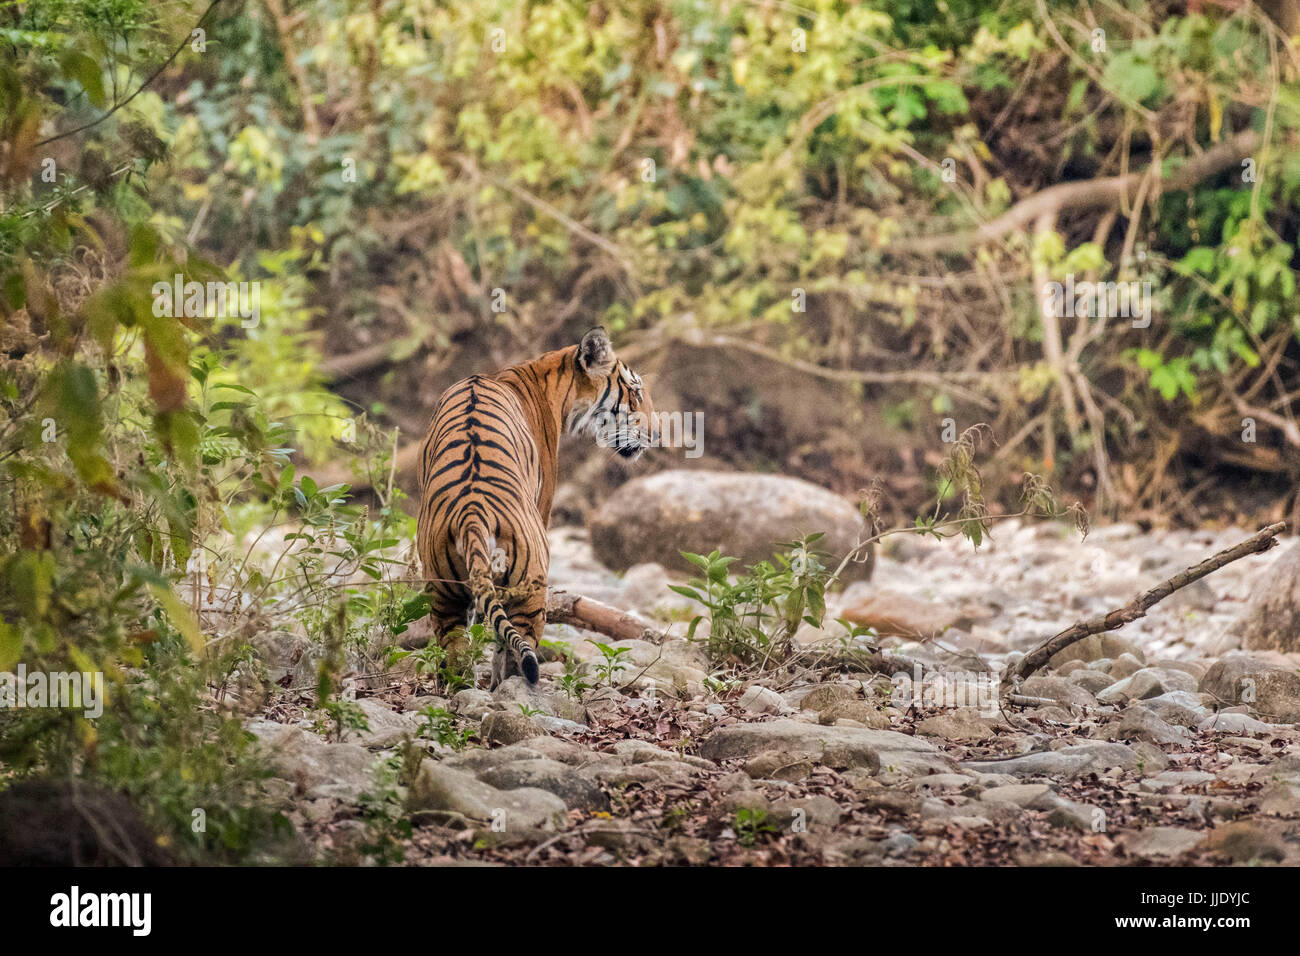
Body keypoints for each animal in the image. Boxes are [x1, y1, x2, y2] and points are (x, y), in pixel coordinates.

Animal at [416, 329, 655, 686]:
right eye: (636, 392)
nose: (656, 434)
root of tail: (472, 513)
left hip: (443, 592)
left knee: (455, 650)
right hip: (529, 584)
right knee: (518, 648)